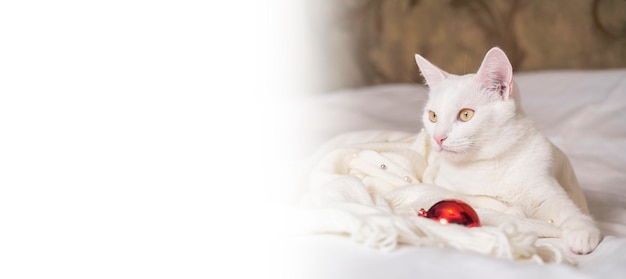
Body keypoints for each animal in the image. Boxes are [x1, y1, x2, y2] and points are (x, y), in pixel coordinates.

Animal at [410, 47, 600, 255]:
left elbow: (568, 211)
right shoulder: (440, 184)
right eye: (433, 116)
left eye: (466, 114)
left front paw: (582, 231)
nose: (438, 138)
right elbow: (478, 198)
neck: (490, 161)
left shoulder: (546, 190)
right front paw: (512, 211)